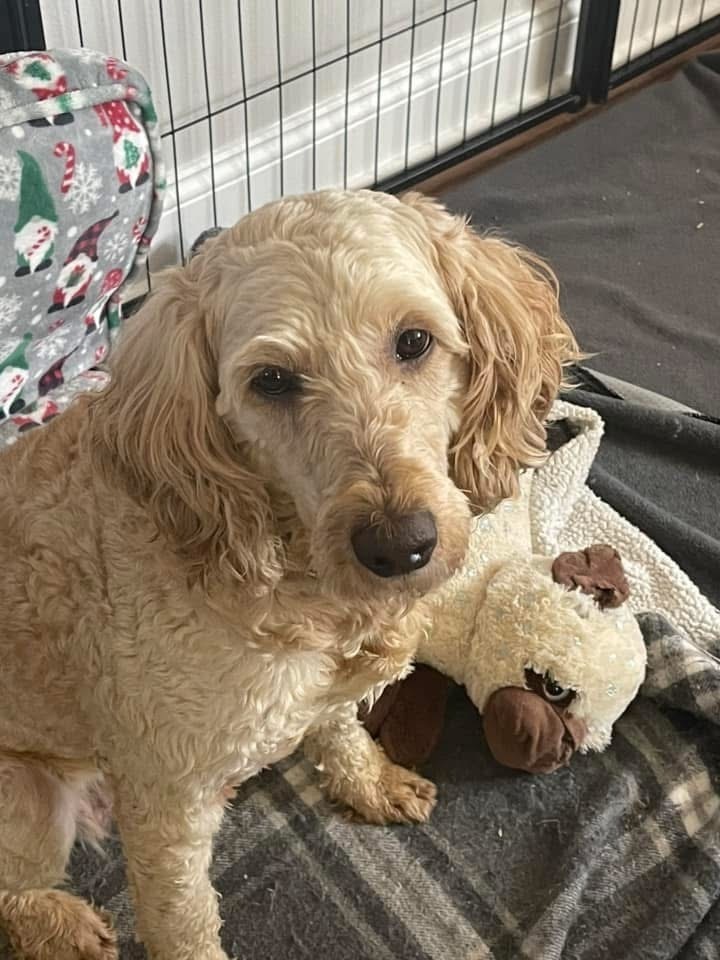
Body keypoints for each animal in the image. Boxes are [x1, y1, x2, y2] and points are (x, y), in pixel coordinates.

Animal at [0, 189, 576, 960]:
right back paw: (56, 923)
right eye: (271, 381)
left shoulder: (324, 695)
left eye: (414, 342)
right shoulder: (165, 810)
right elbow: (184, 924)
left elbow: (338, 729)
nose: (399, 546)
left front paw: (368, 782)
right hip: (30, 804)